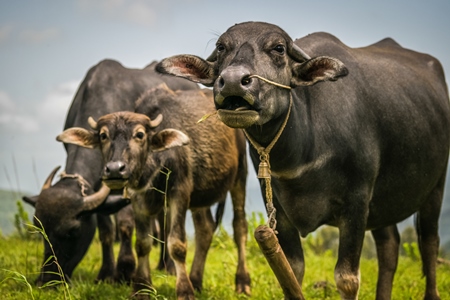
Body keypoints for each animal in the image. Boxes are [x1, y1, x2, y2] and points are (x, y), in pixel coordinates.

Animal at [22, 58, 195, 286]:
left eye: (73, 230)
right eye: (40, 230)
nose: (48, 280)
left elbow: (125, 224)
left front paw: (125, 270)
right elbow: (106, 230)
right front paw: (106, 273)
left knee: (166, 220)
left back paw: (168, 267)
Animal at [55, 85, 250, 300]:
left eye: (140, 135)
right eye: (103, 135)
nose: (114, 169)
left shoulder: (179, 193)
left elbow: (176, 244)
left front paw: (184, 290)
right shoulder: (137, 199)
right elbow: (142, 243)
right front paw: (141, 288)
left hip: (240, 175)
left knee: (240, 226)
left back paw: (242, 282)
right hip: (201, 198)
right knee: (205, 229)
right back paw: (196, 281)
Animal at [156, 21, 450, 300]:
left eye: (278, 48)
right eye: (221, 47)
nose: (232, 81)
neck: (305, 153)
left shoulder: (356, 204)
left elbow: (347, 278)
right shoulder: (279, 209)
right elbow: (293, 271)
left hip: (435, 188)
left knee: (429, 242)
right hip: (383, 204)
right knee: (389, 246)